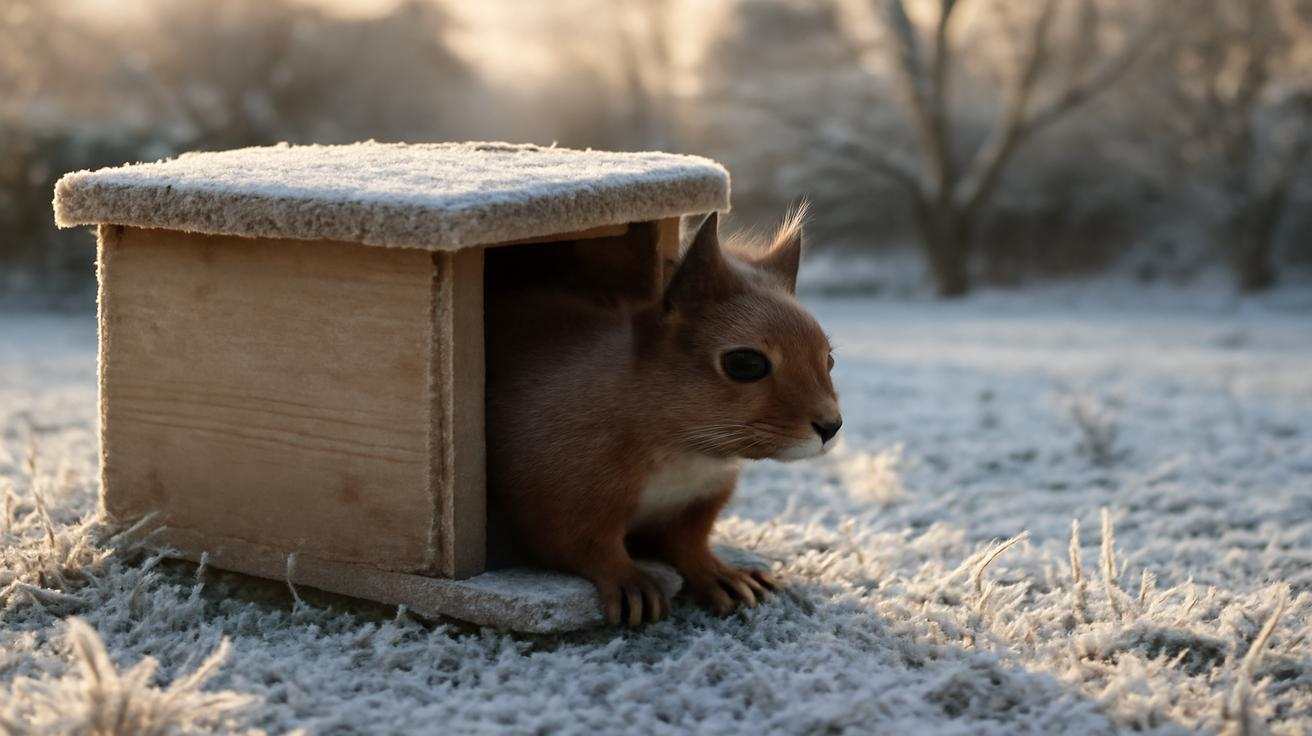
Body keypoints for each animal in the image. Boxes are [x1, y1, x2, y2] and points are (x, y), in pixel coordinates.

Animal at [485, 210, 841, 626]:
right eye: (745, 364)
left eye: (829, 359)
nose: (831, 426)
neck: (685, 455)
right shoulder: (553, 490)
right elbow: (582, 545)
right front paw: (629, 581)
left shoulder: (699, 500)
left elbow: (688, 545)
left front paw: (721, 575)